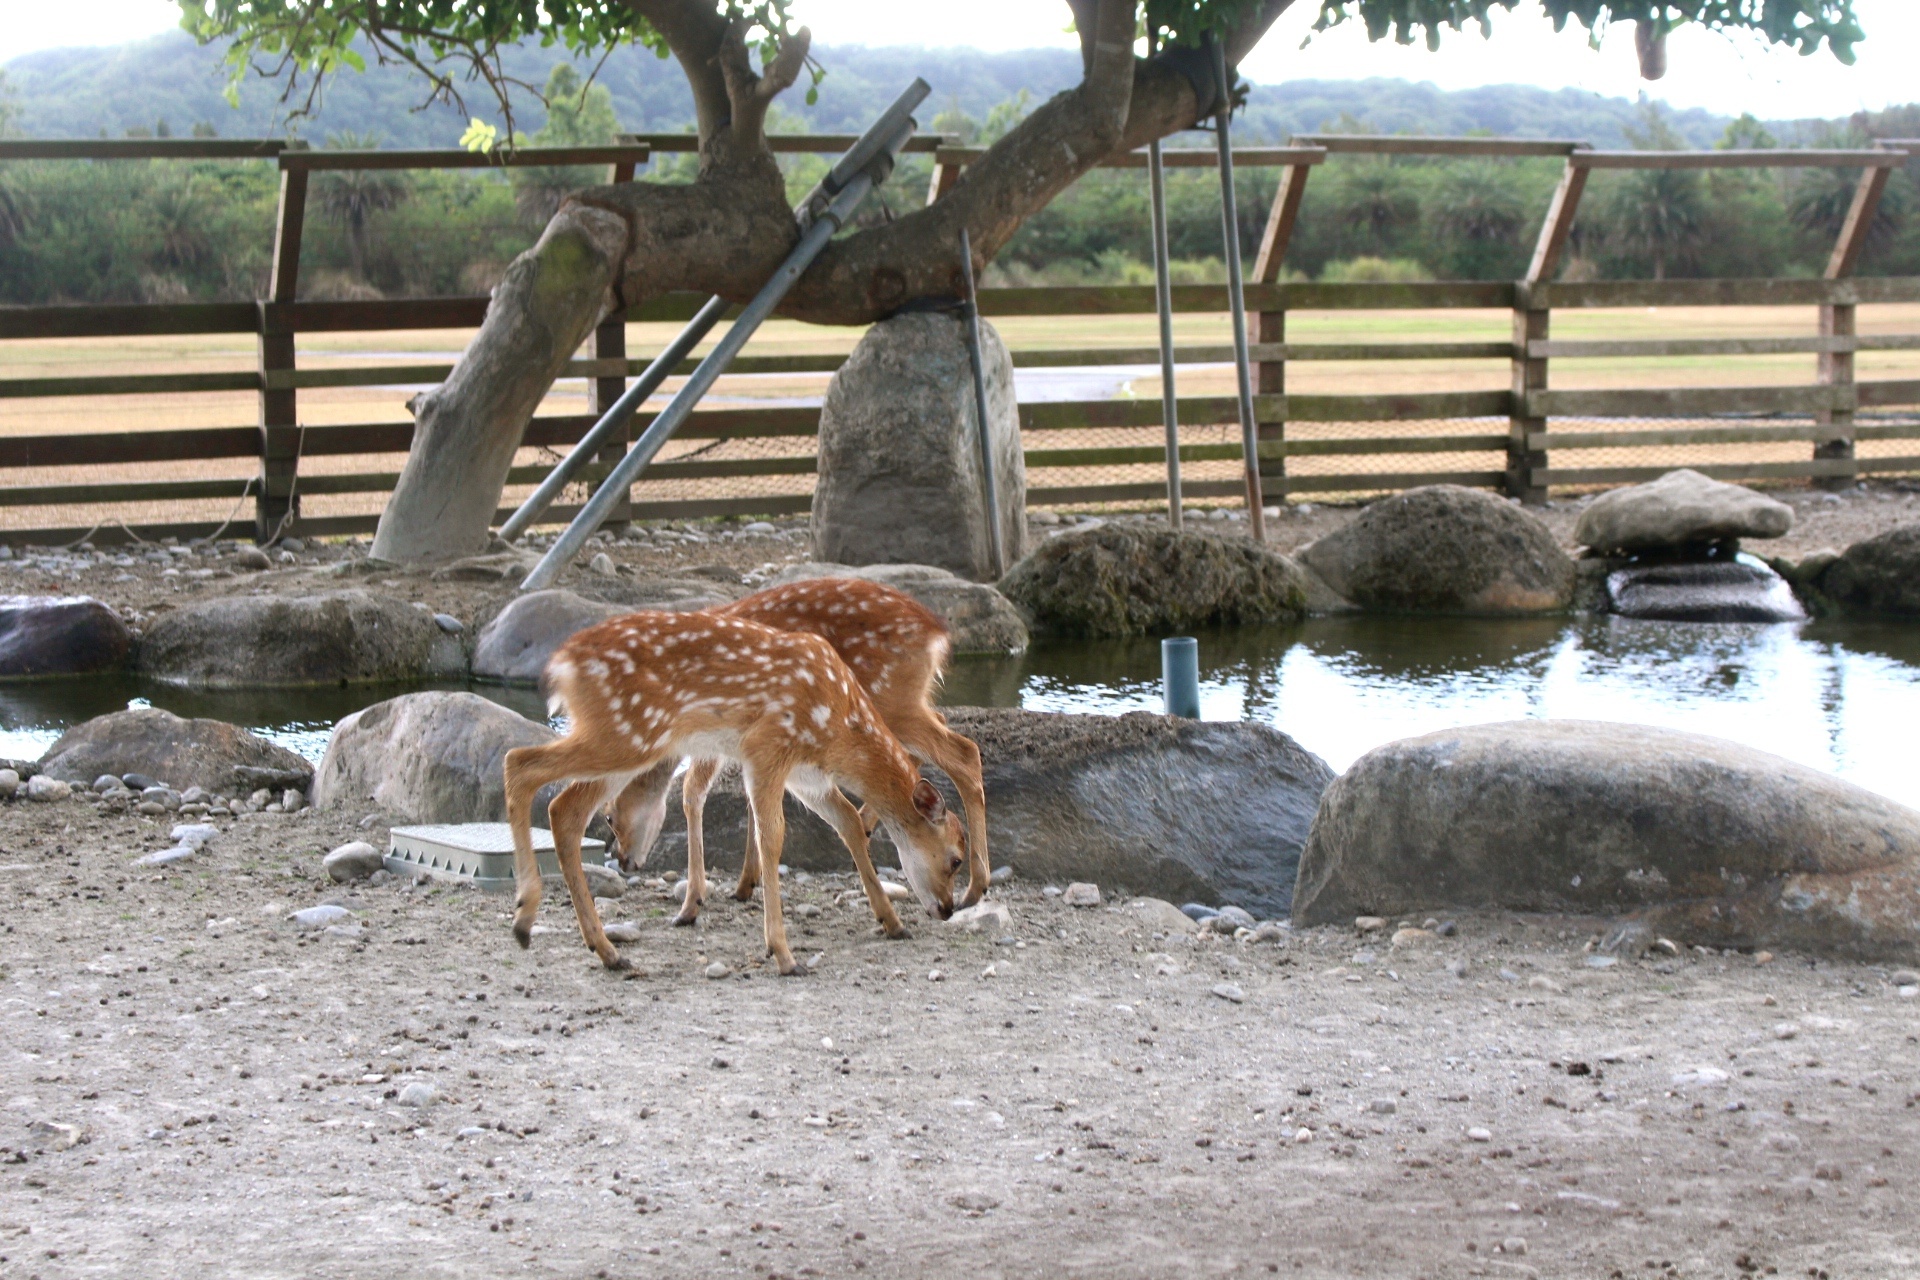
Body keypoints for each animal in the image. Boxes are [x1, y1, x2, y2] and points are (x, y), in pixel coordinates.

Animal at [503, 610, 967, 971]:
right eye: (955, 859)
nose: (947, 909)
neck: (839, 726)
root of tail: (561, 665)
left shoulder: (808, 776)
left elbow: (850, 823)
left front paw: (892, 922)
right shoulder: (766, 748)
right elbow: (772, 838)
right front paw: (783, 954)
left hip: (630, 740)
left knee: (563, 808)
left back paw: (604, 950)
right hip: (628, 732)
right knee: (520, 764)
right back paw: (527, 920)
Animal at [599, 579, 990, 921]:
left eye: (608, 816)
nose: (621, 859)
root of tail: (937, 631)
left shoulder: (711, 733)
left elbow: (692, 792)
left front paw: (693, 901)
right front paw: (745, 882)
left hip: (887, 696)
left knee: (964, 751)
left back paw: (975, 887)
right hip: (898, 701)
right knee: (937, 731)